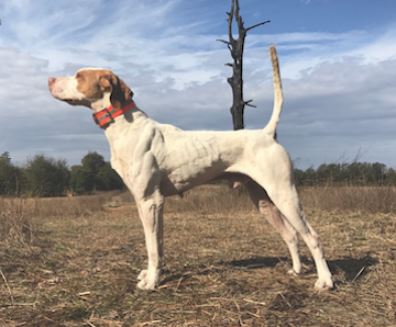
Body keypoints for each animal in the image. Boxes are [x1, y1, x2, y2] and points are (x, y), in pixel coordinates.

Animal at [49, 47, 334, 290]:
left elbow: (152, 247)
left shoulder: (149, 201)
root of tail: (266, 133)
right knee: (291, 235)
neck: (126, 126)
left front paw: (151, 283)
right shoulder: (150, 203)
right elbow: (157, 245)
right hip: (263, 201)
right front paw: (153, 275)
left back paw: (325, 281)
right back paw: (296, 270)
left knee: (313, 237)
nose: (50, 79)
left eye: (78, 75)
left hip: (285, 195)